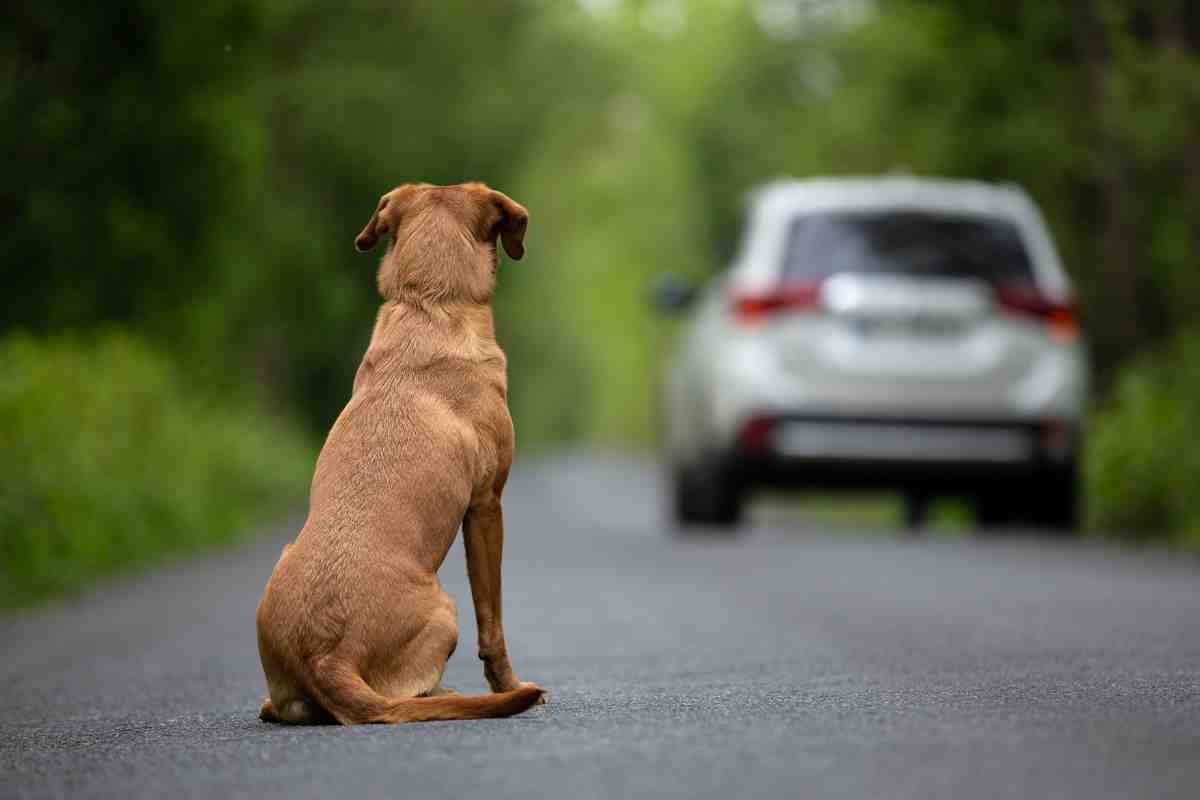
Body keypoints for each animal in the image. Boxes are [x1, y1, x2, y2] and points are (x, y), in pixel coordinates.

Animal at [258, 181, 549, 724]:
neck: (429, 304)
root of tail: (327, 656)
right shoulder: (486, 506)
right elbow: (493, 621)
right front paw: (510, 684)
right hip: (445, 610)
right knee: (411, 694)